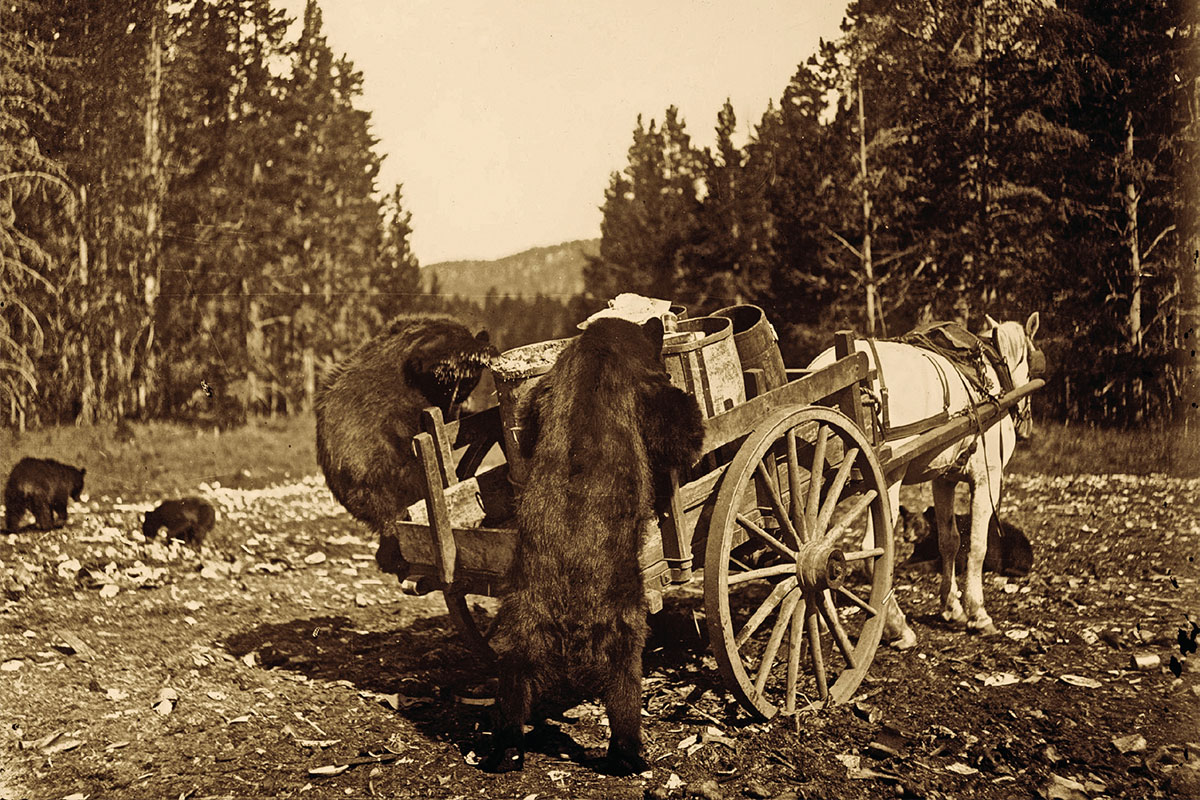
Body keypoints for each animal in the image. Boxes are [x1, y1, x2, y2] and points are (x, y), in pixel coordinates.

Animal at [482, 316, 705, 777]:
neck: (599, 351)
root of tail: (566, 620)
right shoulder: (646, 391)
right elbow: (676, 429)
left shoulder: (546, 391)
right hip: (621, 622)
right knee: (623, 686)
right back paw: (630, 755)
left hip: (520, 623)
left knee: (512, 679)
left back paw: (506, 750)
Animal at [902, 503, 1032, 578]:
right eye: (905, 524)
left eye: (917, 525)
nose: (906, 536)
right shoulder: (924, 547)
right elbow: (915, 556)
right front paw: (902, 565)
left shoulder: (959, 541)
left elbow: (952, 562)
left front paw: (906, 570)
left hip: (1012, 542)